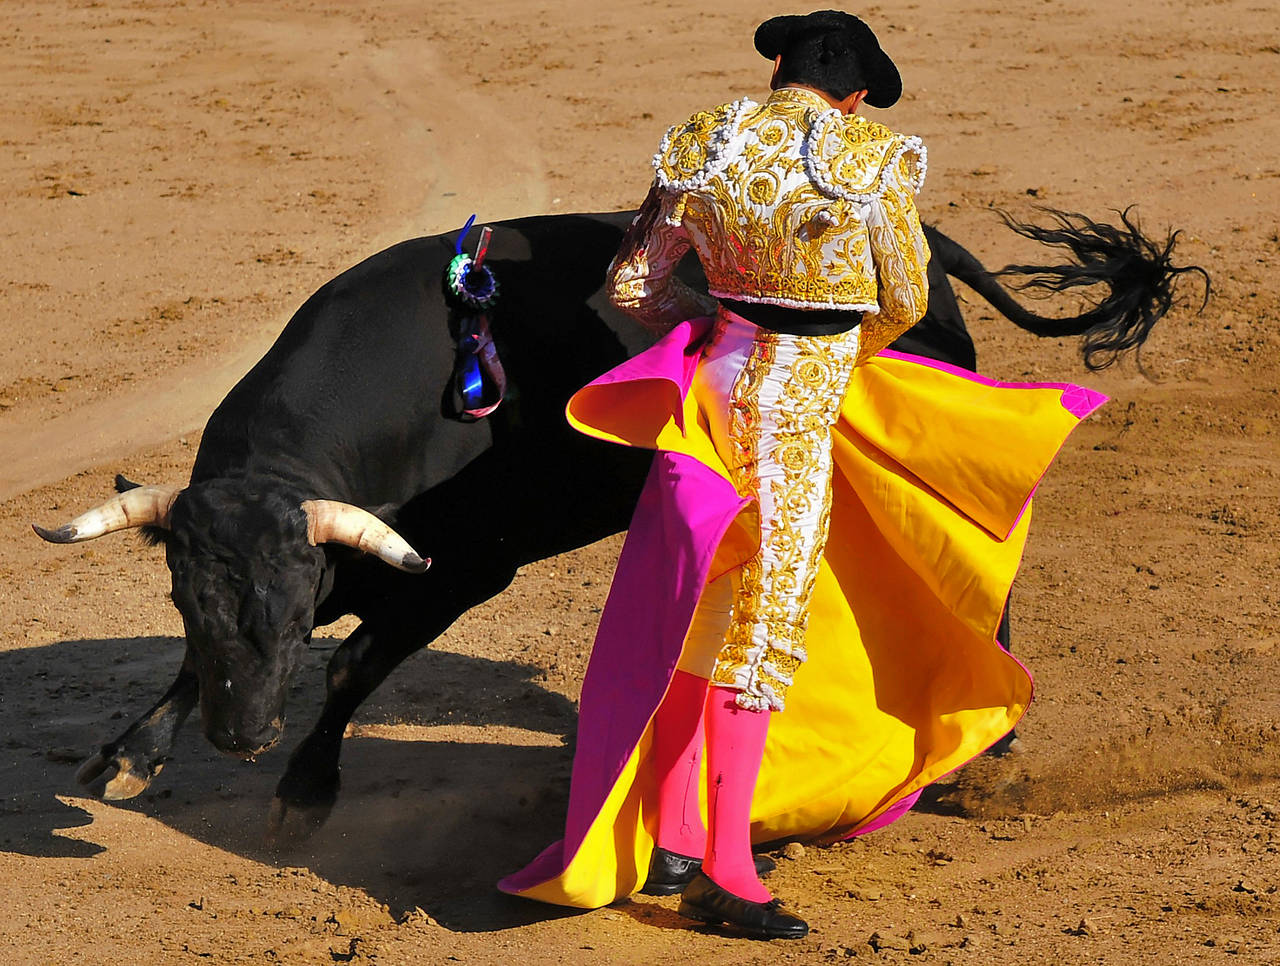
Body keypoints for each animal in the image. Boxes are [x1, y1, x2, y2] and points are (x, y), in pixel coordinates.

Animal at [35, 209, 1203, 839]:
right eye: (189, 597)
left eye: (288, 612)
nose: (241, 739)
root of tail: (925, 245)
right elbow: (215, 662)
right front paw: (129, 755)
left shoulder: (465, 569)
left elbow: (353, 666)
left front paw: (302, 795)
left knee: (971, 587)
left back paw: (977, 752)